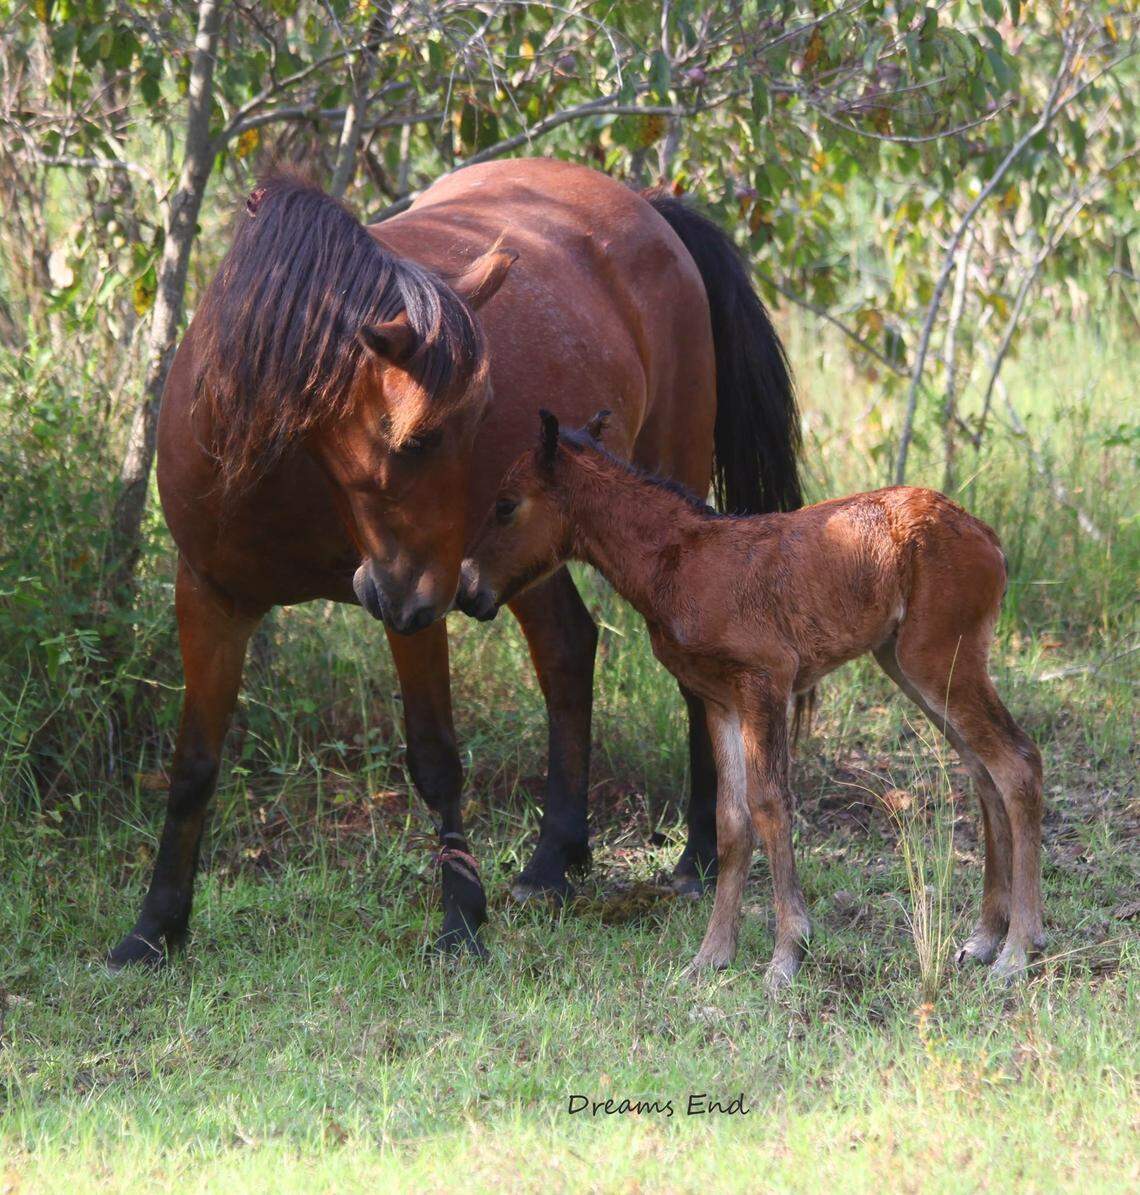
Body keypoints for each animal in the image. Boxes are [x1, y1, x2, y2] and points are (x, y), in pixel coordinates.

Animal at [108, 158, 801, 969]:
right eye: (416, 440)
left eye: (478, 421)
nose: (430, 592)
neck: (279, 464)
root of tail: (649, 207)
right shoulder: (211, 598)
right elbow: (192, 767)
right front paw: (153, 929)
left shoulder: (409, 605)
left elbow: (435, 756)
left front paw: (462, 921)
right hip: (525, 547)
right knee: (568, 649)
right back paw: (553, 861)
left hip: (648, 496)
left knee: (690, 678)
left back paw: (695, 860)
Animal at [458, 410, 1045, 987]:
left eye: (506, 505)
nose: (469, 593)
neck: (679, 564)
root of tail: (987, 536)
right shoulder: (719, 699)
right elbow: (731, 819)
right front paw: (712, 956)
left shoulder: (764, 680)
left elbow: (769, 804)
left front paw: (787, 954)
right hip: (907, 665)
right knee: (983, 771)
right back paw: (985, 938)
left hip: (939, 658)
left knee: (1016, 762)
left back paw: (1018, 950)